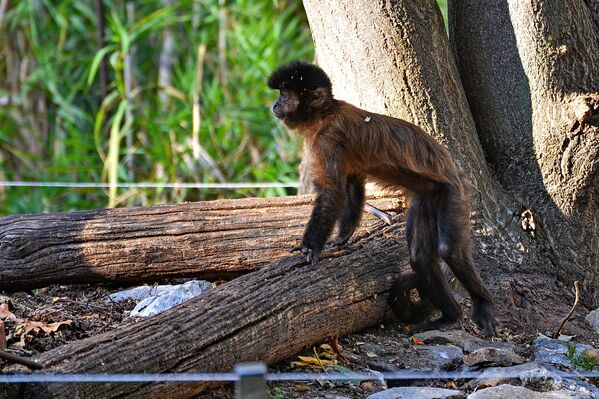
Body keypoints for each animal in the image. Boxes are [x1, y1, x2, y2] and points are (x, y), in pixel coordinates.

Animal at [270, 61, 500, 338]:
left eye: (284, 95)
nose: (275, 104)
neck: (325, 115)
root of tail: (454, 169)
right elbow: (352, 185)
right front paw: (342, 238)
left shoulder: (327, 140)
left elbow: (334, 192)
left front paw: (310, 247)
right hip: (428, 197)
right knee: (421, 257)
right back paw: (450, 316)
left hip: (453, 192)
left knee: (450, 250)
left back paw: (483, 304)